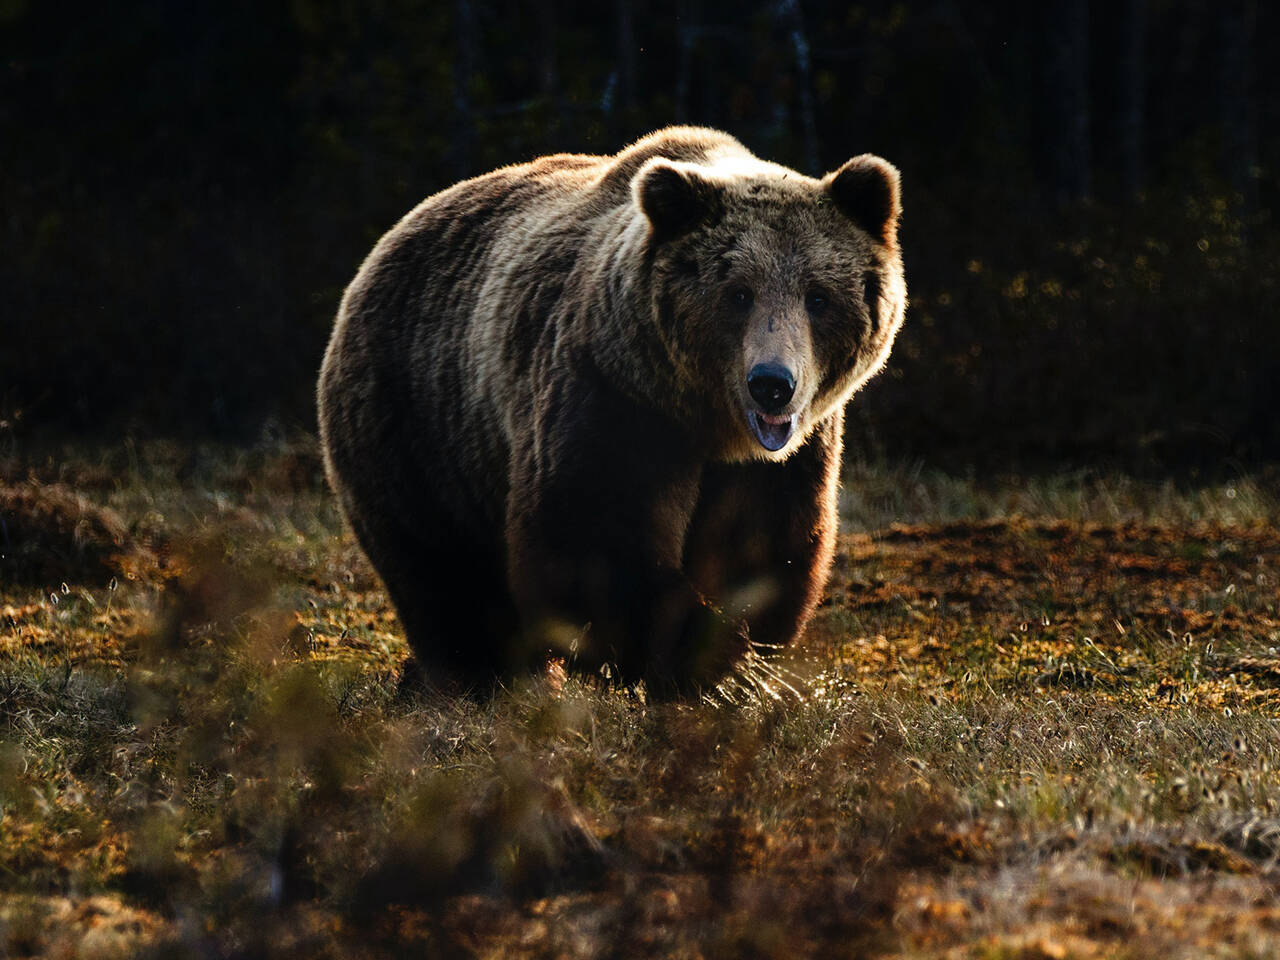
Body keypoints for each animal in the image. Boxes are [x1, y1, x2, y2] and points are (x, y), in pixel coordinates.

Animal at [316, 129, 906, 701]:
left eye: (818, 296)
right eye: (738, 293)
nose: (772, 386)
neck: (707, 421)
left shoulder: (785, 457)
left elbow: (762, 547)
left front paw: (739, 659)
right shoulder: (612, 396)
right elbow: (592, 539)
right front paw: (716, 666)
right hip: (418, 421)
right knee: (443, 572)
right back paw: (475, 678)